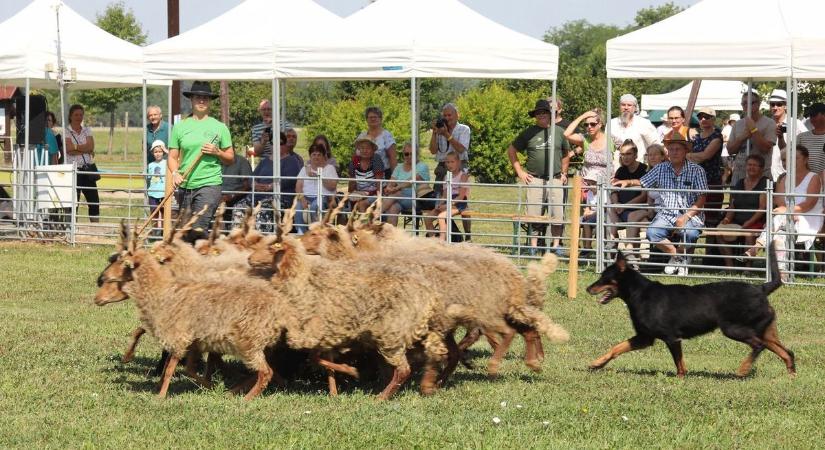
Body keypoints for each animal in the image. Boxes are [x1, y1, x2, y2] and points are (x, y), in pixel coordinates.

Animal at [584, 241, 796, 378]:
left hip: (733, 329)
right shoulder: (645, 337)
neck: (639, 293)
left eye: (604, 278)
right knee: (787, 352)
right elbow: (616, 348)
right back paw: (791, 376)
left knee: (758, 346)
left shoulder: (671, 338)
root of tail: (762, 288)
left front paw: (680, 379)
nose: (587, 288)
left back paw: (743, 370)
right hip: (766, 330)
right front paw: (597, 363)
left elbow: (679, 365)